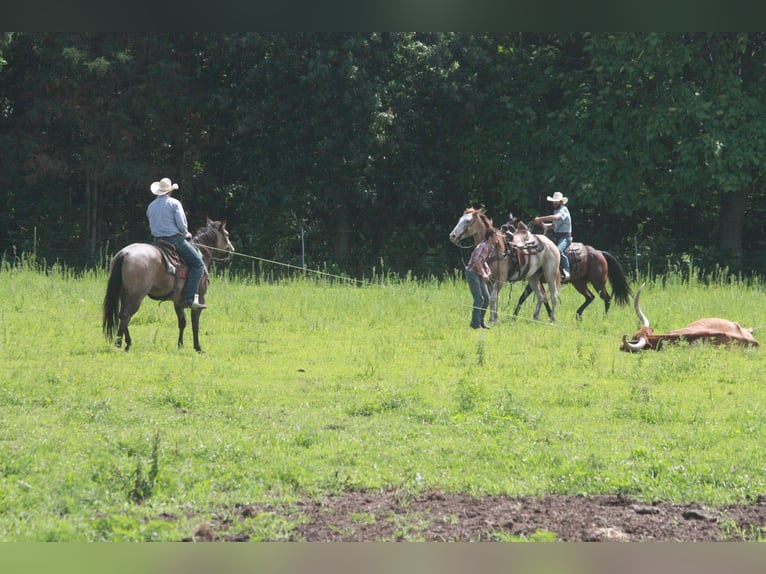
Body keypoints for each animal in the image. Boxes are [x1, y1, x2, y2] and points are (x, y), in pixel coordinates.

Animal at [102, 218, 234, 352]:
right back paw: (119, 344)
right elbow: (195, 323)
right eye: (227, 234)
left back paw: (127, 343)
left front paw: (180, 345)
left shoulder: (178, 301)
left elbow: (182, 322)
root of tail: (125, 253)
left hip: (125, 294)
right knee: (126, 315)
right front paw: (198, 347)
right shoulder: (200, 298)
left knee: (122, 315)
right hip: (136, 296)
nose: (232, 249)